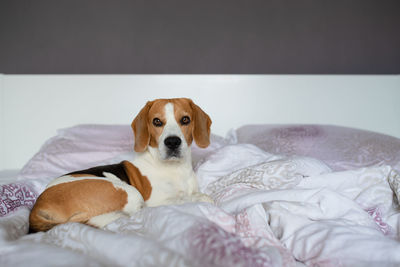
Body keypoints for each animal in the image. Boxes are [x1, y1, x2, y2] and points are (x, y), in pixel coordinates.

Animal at [28, 98, 212, 232]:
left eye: (185, 119)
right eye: (157, 121)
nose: (172, 142)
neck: (176, 169)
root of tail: (36, 208)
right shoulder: (155, 201)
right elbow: (184, 199)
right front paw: (200, 198)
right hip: (130, 193)